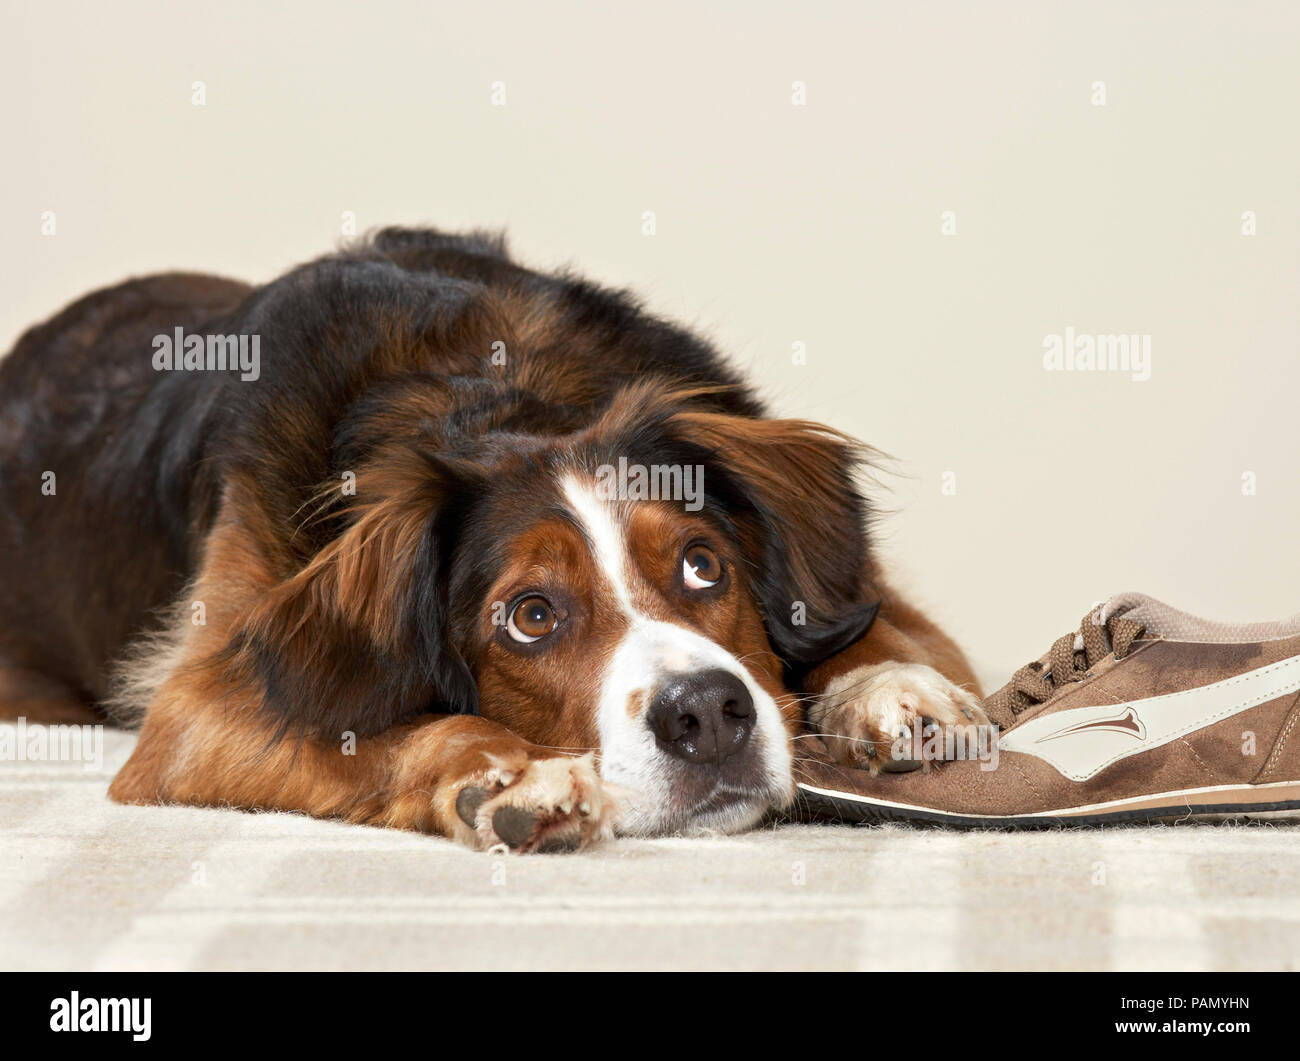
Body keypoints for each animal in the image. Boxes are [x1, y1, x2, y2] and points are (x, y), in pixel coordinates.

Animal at [0, 227, 977, 847]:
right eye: (531, 616)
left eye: (704, 565)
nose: (705, 712)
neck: (482, 392)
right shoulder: (198, 711)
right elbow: (386, 734)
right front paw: (508, 775)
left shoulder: (866, 586)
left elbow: (886, 631)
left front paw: (892, 689)